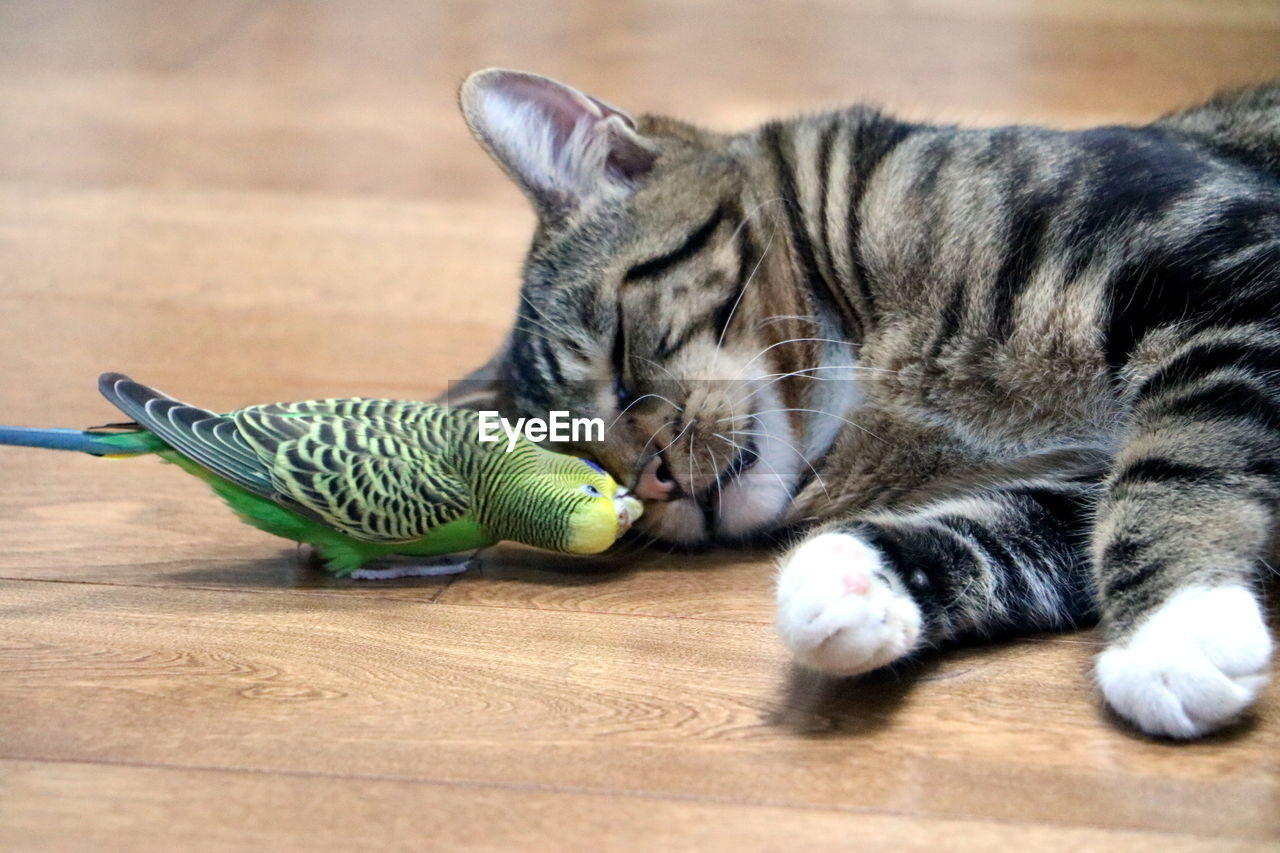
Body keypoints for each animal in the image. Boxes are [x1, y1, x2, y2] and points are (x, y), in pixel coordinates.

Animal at [445, 69, 1274, 737]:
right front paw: (858, 578)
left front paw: (1174, 628)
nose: (655, 479)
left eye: (619, 357)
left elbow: (1178, 463)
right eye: (589, 462)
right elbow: (1003, 532)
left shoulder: (1225, 268)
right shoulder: (1069, 484)